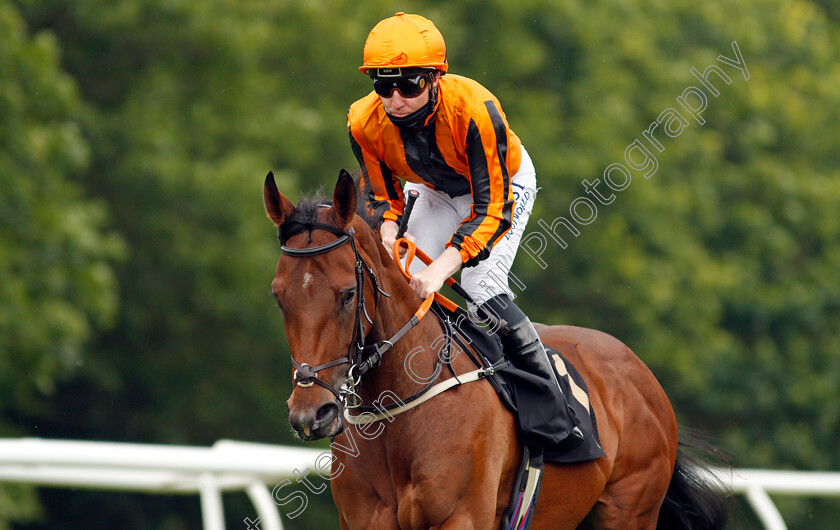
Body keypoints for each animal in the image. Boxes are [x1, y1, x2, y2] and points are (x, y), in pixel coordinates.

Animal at [266, 170, 724, 528]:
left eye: (347, 294)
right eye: (278, 297)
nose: (311, 414)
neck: (399, 407)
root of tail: (642, 376)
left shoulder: (461, 518)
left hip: (629, 508)